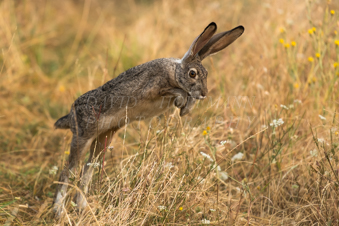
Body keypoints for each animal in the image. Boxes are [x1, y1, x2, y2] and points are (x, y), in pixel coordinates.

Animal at [53, 21, 244, 217]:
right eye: (192, 74)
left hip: (103, 138)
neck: (174, 71)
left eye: (206, 74)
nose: (204, 93)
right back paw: (59, 211)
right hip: (83, 136)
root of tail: (70, 115)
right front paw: (182, 102)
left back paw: (84, 208)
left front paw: (186, 109)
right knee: (67, 172)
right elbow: (178, 91)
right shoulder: (154, 88)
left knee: (87, 170)